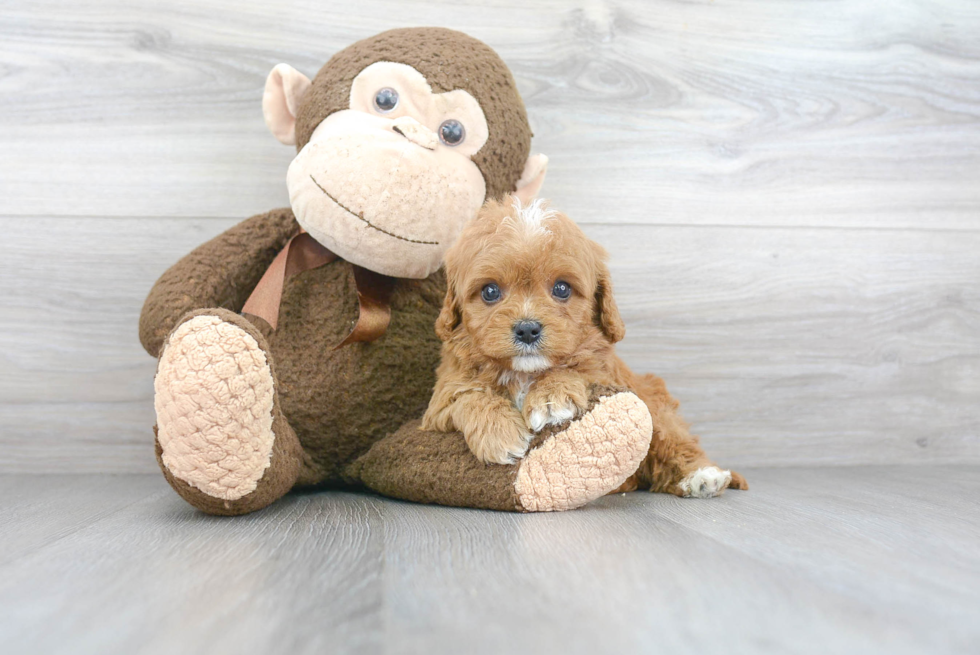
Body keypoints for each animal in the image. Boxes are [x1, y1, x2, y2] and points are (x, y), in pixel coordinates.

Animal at [422, 196, 752, 498]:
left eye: (562, 288)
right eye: (490, 291)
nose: (527, 329)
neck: (525, 373)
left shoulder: (609, 376)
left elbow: (578, 369)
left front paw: (551, 396)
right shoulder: (437, 407)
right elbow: (467, 395)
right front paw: (499, 433)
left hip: (653, 403)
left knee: (675, 441)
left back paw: (703, 476)